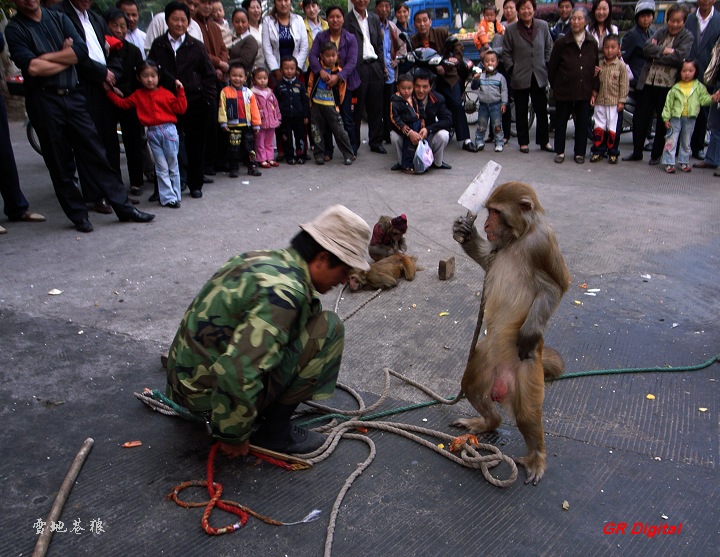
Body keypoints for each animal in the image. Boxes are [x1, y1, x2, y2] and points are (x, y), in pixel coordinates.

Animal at [456, 181, 568, 482]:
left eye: (496, 212)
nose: (486, 223)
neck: (520, 237)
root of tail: (501, 383)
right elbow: (488, 261)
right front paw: (464, 232)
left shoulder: (543, 242)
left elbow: (557, 286)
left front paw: (529, 332)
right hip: (484, 359)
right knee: (471, 386)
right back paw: (488, 421)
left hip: (529, 372)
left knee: (528, 415)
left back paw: (536, 457)